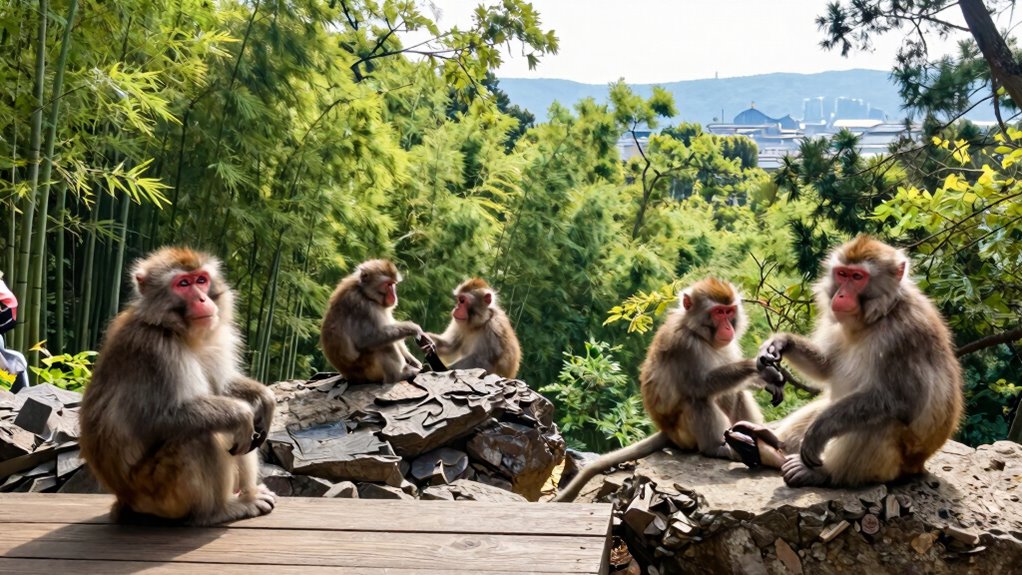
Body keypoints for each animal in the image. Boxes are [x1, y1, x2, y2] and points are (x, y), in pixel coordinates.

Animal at [79, 247, 277, 525]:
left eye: (201, 280)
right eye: (183, 284)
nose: (203, 300)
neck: (178, 332)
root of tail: (124, 499)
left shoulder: (217, 340)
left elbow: (221, 387)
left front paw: (265, 398)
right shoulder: (155, 353)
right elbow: (158, 418)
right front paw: (241, 413)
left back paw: (248, 493)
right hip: (158, 493)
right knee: (199, 436)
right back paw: (218, 510)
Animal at [554, 278, 785, 502]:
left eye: (729, 312)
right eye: (718, 312)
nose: (728, 327)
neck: (699, 334)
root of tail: (666, 432)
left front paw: (767, 379)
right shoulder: (684, 346)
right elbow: (699, 386)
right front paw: (757, 366)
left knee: (732, 392)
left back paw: (754, 436)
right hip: (684, 435)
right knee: (697, 399)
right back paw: (716, 448)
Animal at [727, 236, 964, 488]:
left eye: (858, 277)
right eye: (842, 274)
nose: (840, 295)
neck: (877, 317)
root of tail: (919, 465)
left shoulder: (904, 336)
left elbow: (903, 400)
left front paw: (818, 432)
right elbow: (826, 367)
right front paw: (780, 343)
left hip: (894, 466)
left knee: (881, 420)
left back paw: (821, 473)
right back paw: (768, 441)